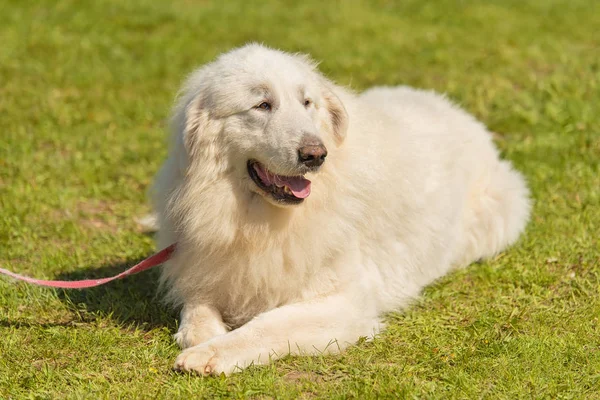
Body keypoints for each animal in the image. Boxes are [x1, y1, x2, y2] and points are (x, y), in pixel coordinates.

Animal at [152, 44, 532, 376]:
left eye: (307, 103)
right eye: (262, 104)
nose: (316, 155)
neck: (257, 220)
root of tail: (457, 110)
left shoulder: (345, 302)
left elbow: (268, 324)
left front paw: (211, 352)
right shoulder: (205, 267)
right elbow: (195, 307)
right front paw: (203, 335)